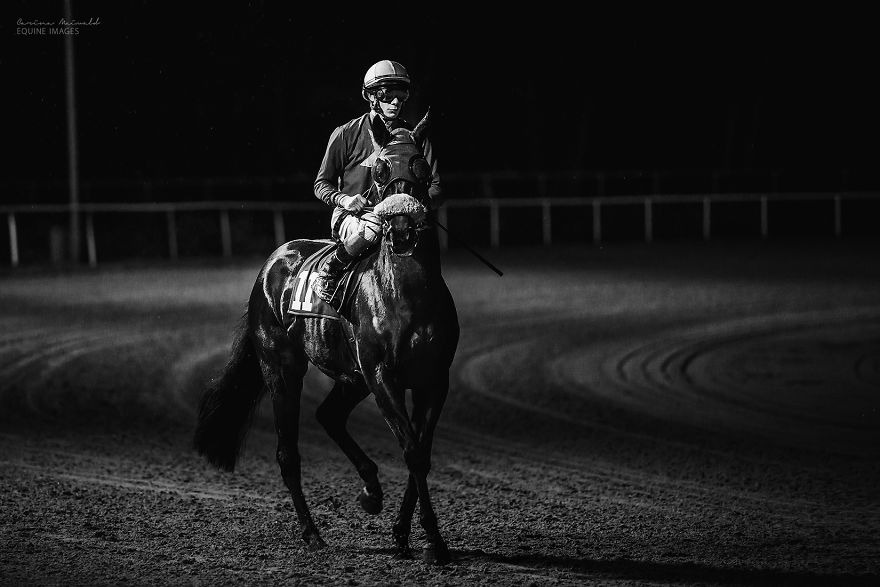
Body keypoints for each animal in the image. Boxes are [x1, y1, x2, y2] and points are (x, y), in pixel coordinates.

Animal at [193, 111, 460, 565]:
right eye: (380, 169)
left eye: (422, 167)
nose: (401, 227)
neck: (406, 292)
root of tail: (273, 263)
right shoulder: (382, 375)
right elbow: (410, 450)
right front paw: (431, 540)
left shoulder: (432, 380)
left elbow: (420, 454)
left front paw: (408, 534)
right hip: (283, 368)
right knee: (288, 453)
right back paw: (312, 532)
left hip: (352, 378)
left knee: (329, 416)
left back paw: (371, 491)